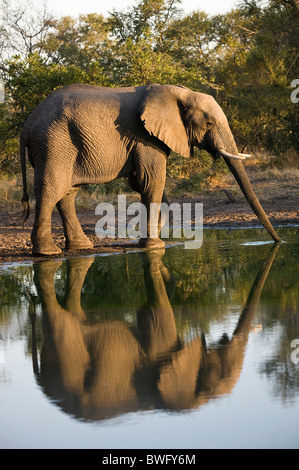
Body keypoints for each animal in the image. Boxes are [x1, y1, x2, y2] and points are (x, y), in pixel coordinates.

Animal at [20, 82, 282, 255]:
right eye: (209, 124)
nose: (279, 242)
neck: (179, 93)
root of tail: (27, 124)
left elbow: (143, 182)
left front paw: (148, 241)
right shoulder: (145, 137)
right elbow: (152, 180)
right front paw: (155, 246)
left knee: (68, 193)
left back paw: (81, 247)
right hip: (54, 143)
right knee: (52, 189)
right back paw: (48, 252)